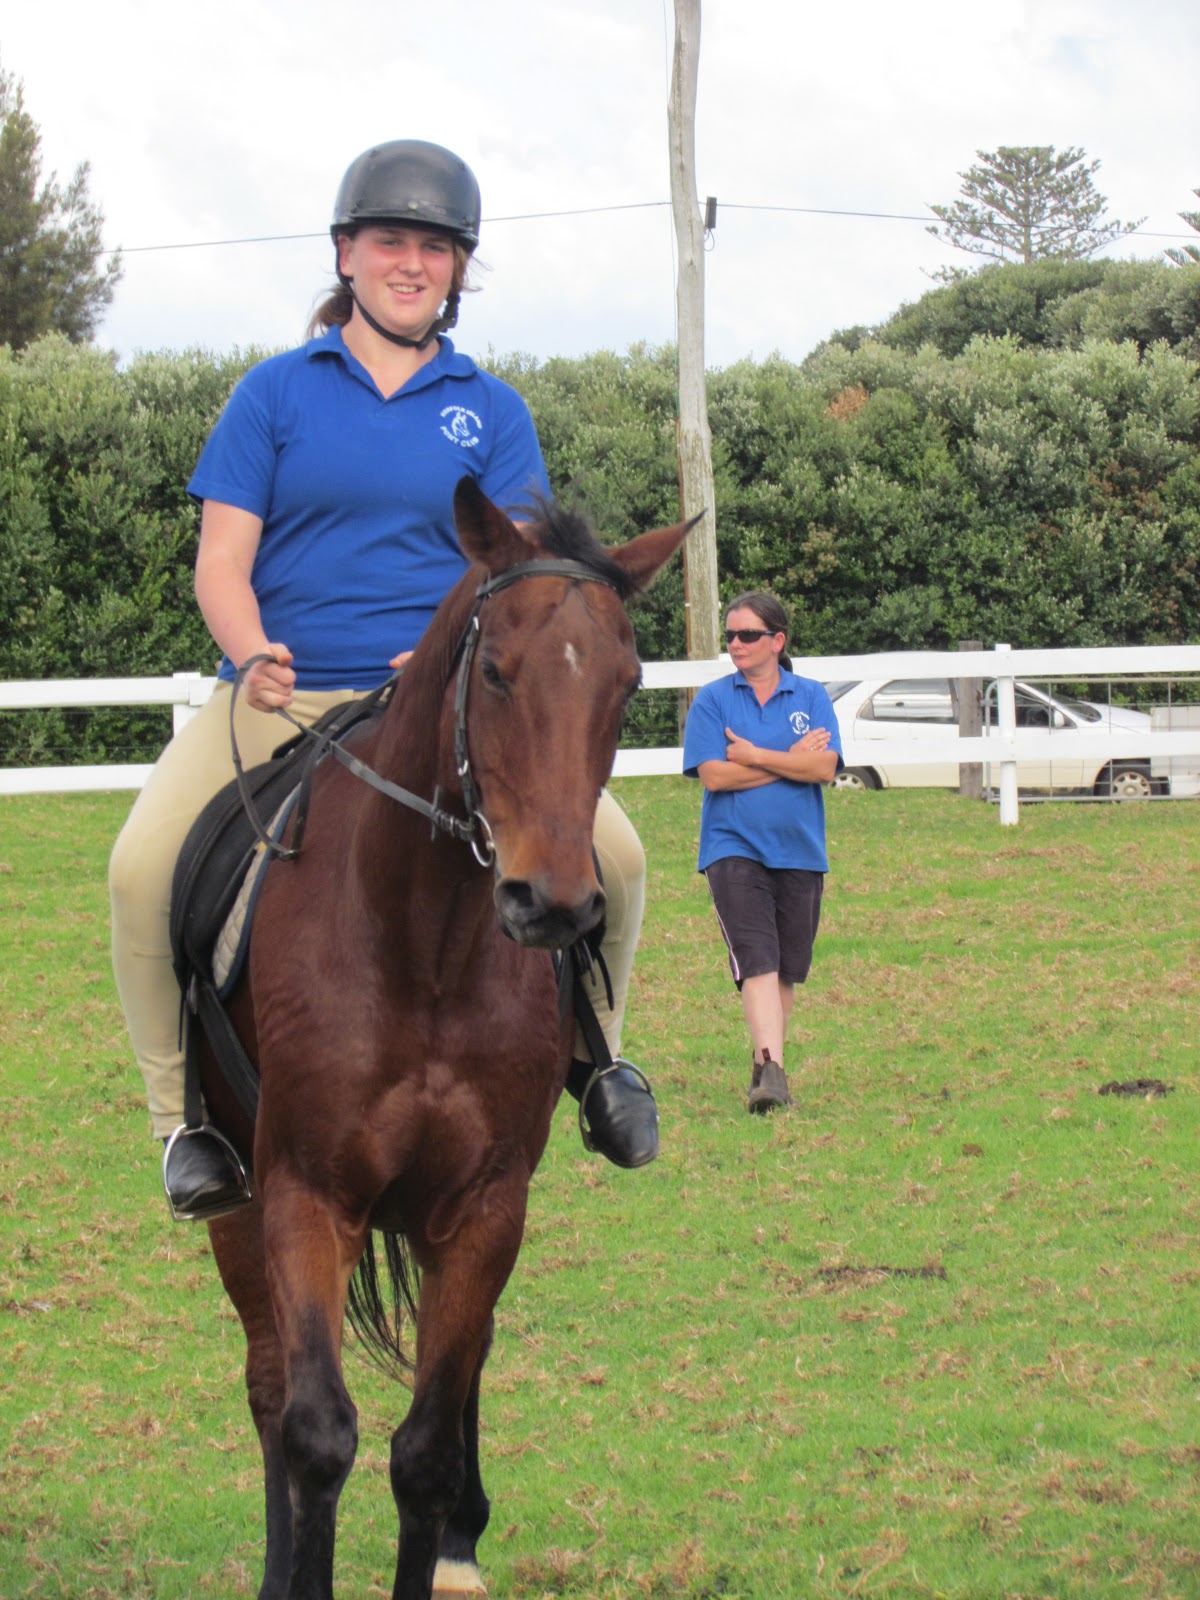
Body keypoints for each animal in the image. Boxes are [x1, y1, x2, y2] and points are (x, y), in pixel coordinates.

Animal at [197, 478, 690, 1600]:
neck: (419, 942)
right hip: (234, 1195)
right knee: (268, 1386)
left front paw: (446, 1539)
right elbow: (315, 1432)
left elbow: (422, 1448)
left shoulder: (483, 1206)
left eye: (629, 683)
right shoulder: (306, 1194)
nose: (553, 905)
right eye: (496, 670)